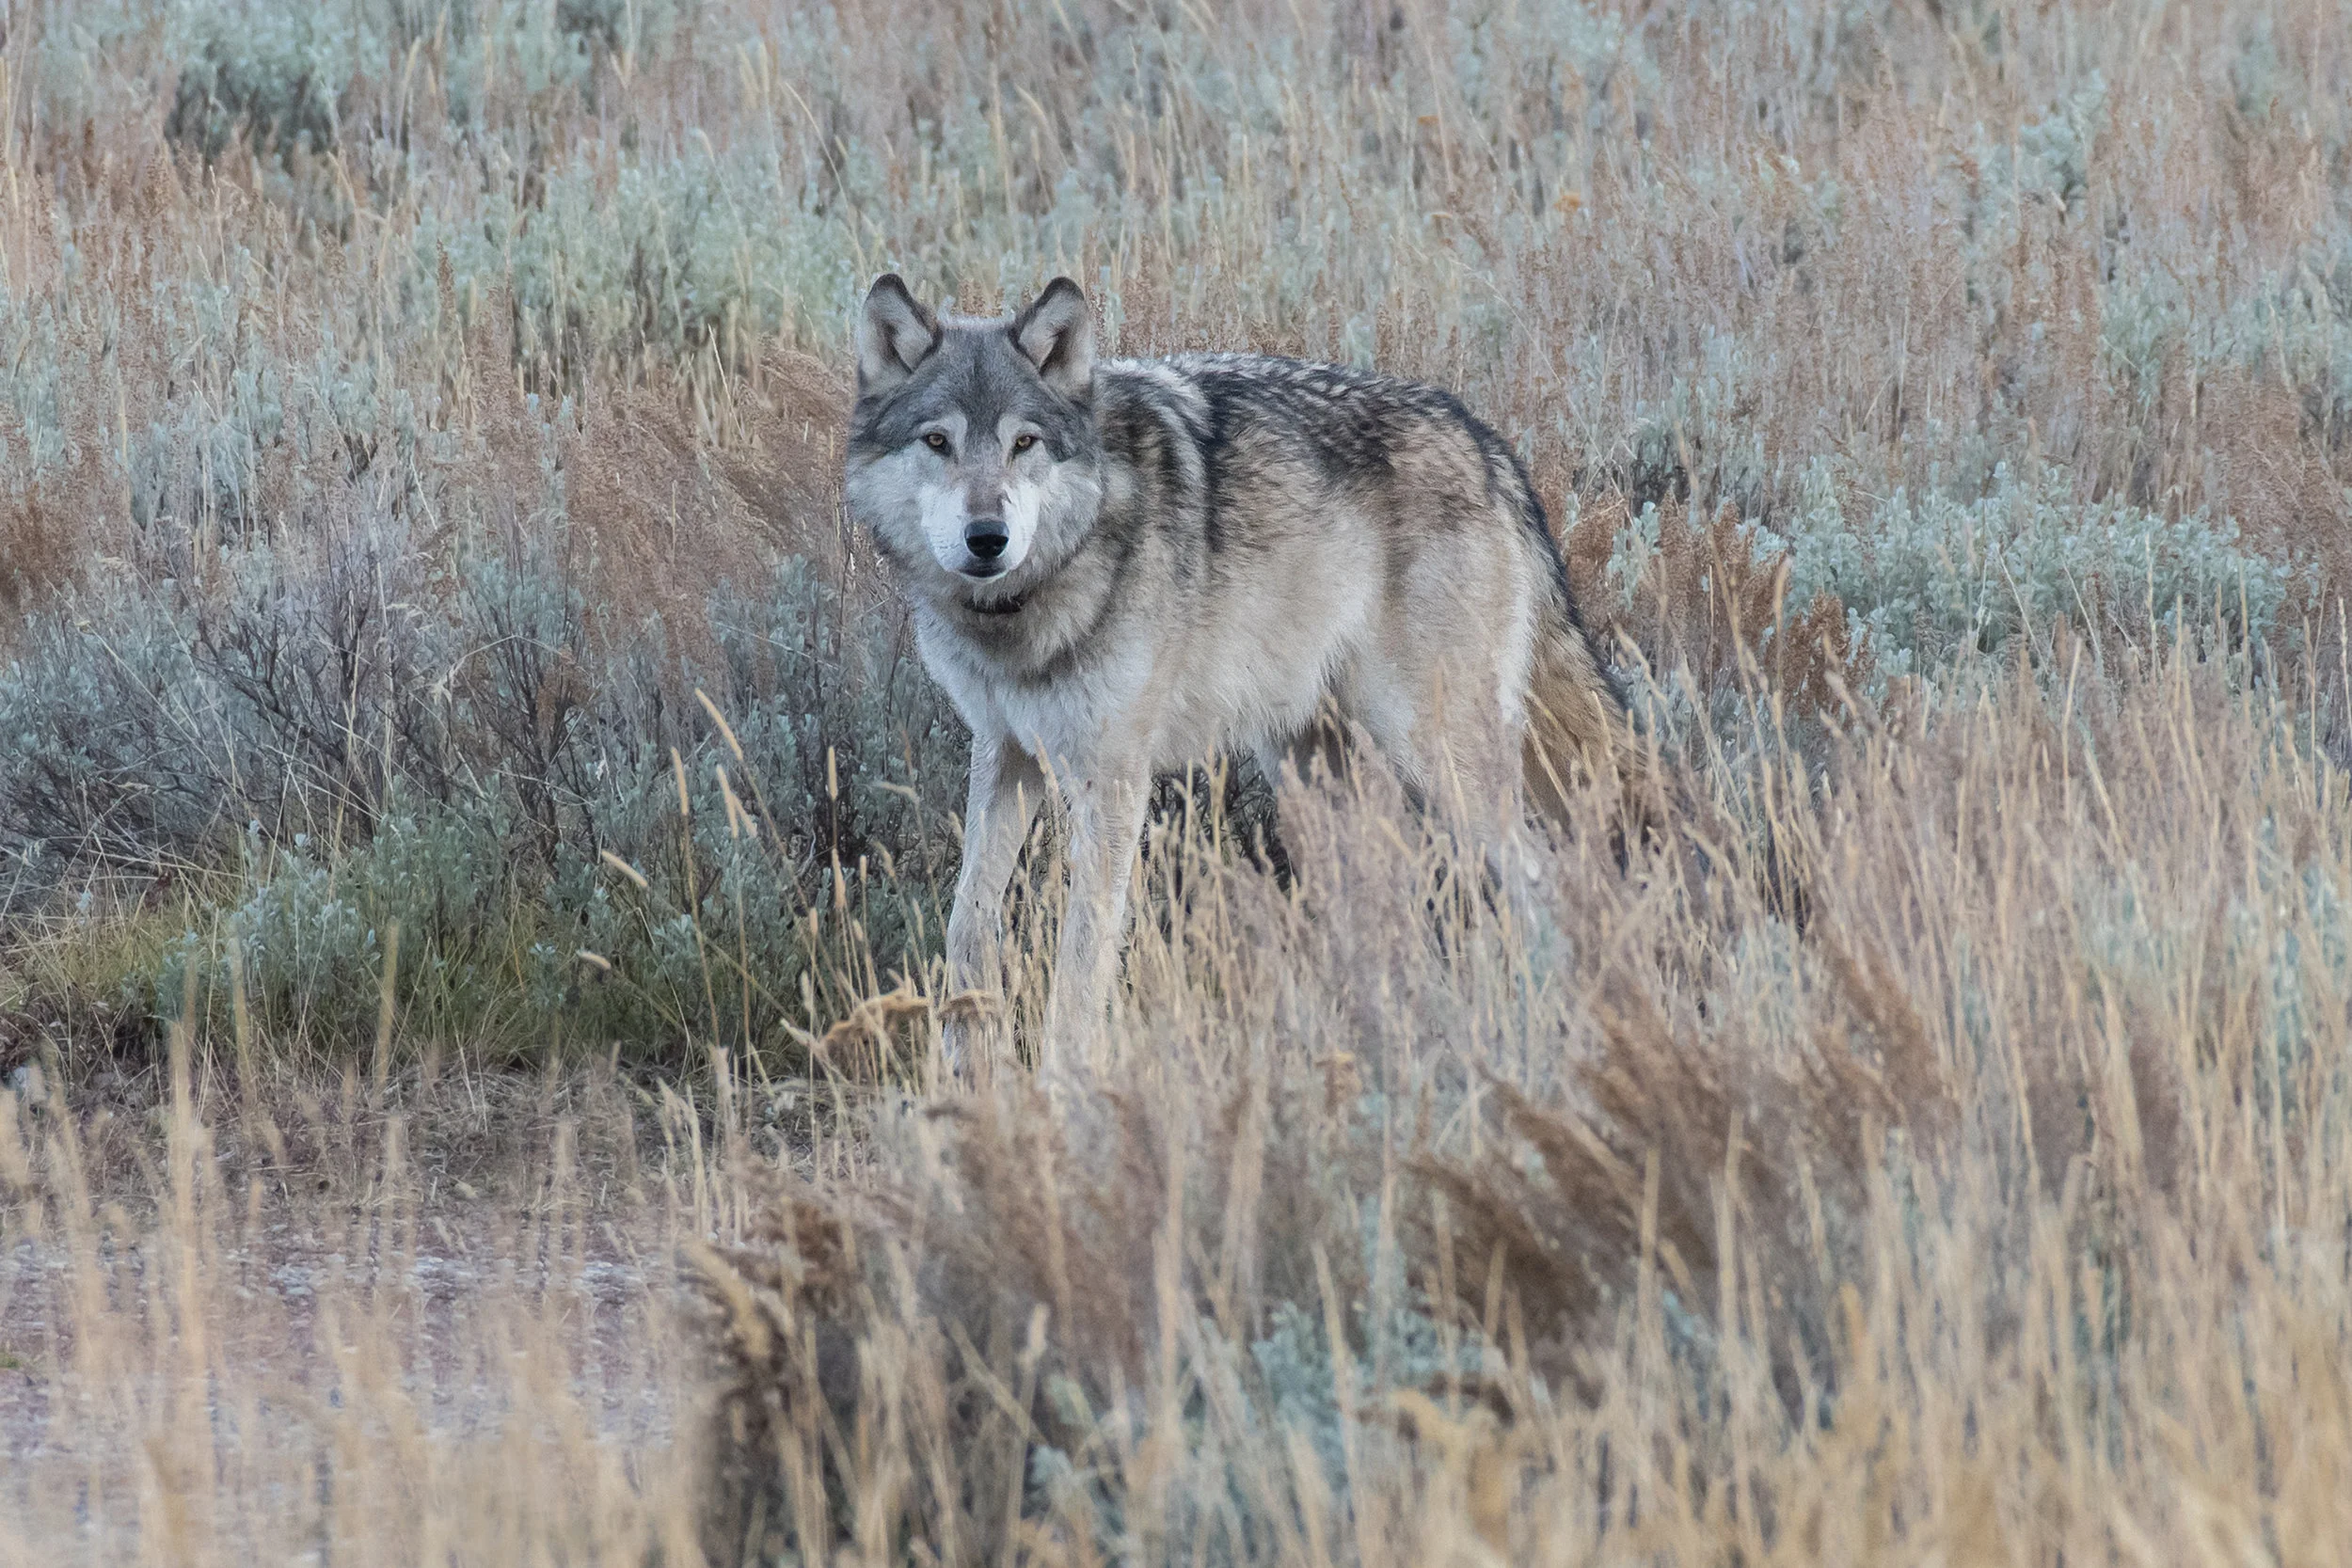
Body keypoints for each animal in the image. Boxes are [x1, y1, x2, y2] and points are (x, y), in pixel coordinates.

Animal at [843, 274, 1641, 1077]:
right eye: (937, 441)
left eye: (1023, 443)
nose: (988, 537)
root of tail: (1489, 443)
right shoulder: (1006, 750)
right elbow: (967, 923)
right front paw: (964, 1070)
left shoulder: (1111, 778)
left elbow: (1083, 953)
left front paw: (1067, 1084)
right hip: (1314, 778)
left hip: (1435, 758)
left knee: (1548, 885)